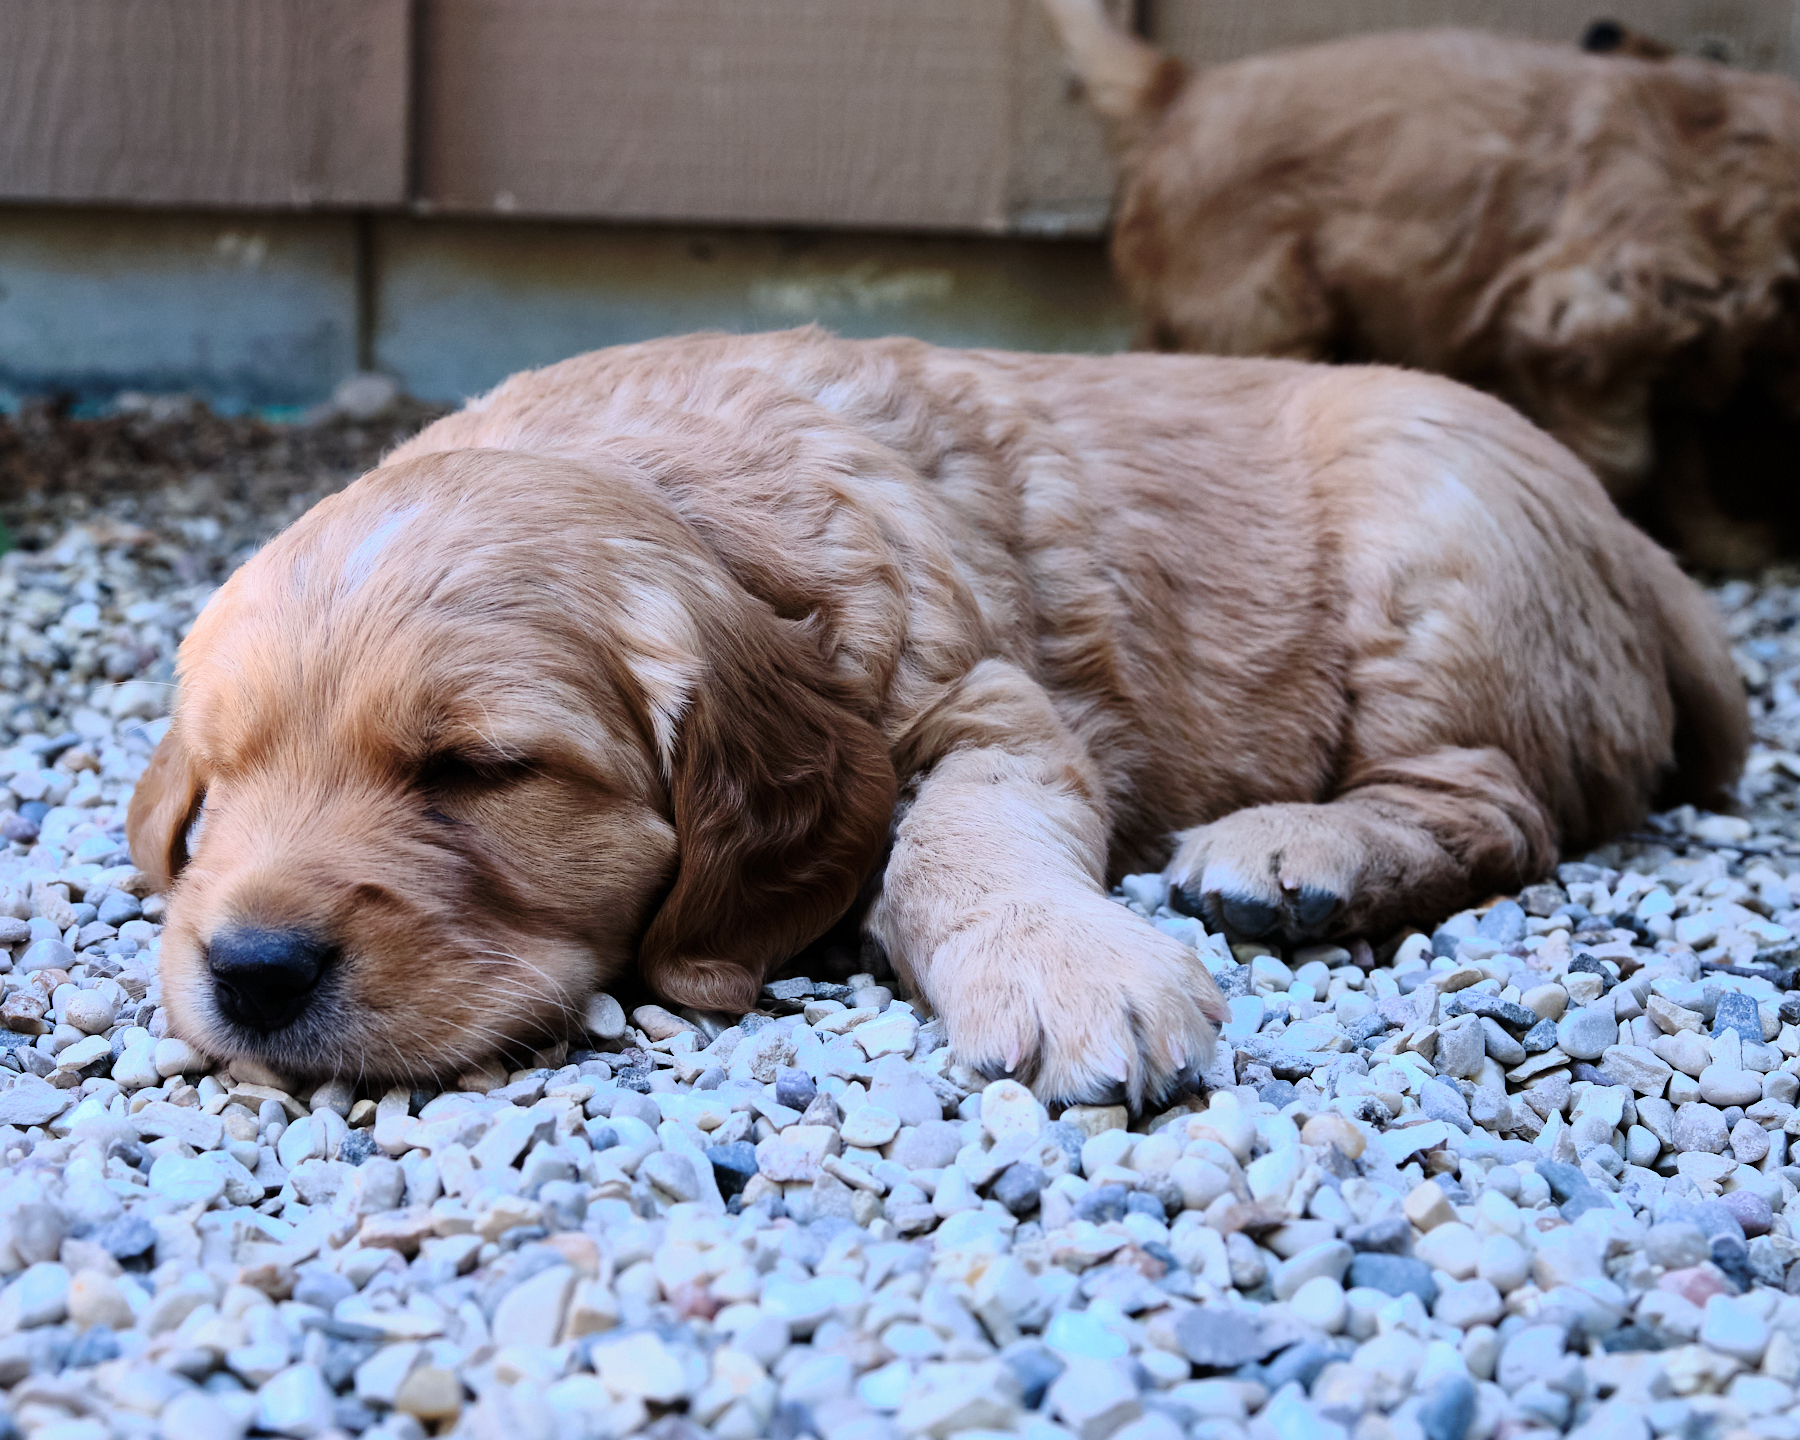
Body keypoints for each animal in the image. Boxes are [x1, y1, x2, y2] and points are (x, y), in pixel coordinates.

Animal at [126, 331, 1742, 1108]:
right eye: (223, 785)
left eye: (476, 771)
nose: (252, 974)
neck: (697, 502)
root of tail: (1636, 544)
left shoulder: (990, 703)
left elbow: (957, 843)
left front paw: (1071, 971)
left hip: (1433, 541)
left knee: (1497, 805)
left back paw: (1301, 853)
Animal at [1036, 2, 1800, 572]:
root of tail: (1180, 90)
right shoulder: (1589, 307)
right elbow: (1632, 453)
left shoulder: (1678, 340)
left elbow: (1685, 455)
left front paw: (1727, 543)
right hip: (1261, 307)